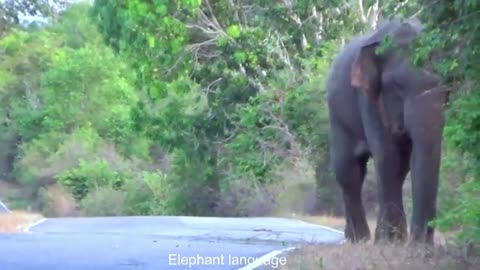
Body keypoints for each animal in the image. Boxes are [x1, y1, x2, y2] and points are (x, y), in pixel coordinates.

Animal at [324, 16, 448, 245]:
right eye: (397, 84)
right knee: (348, 170)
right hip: (337, 116)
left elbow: (408, 160)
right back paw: (359, 239)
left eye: (447, 86)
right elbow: (387, 154)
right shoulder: (367, 97)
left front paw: (404, 243)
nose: (421, 240)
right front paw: (389, 242)